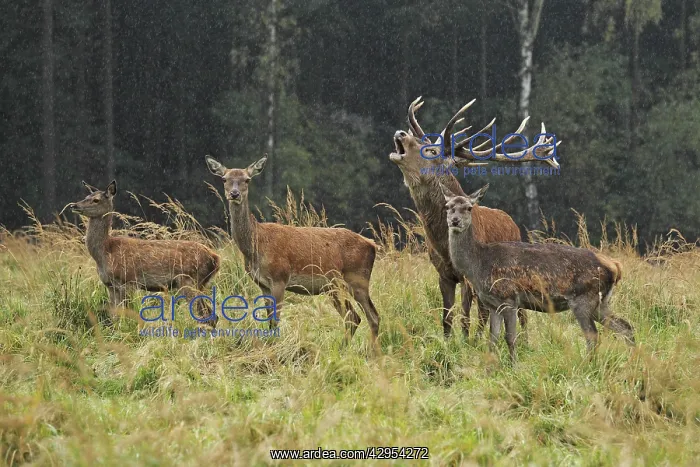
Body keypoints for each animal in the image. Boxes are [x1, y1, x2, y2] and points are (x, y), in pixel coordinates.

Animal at [63, 181, 221, 326]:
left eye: (96, 200)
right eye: (86, 196)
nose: (74, 205)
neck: (105, 252)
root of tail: (216, 259)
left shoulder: (128, 281)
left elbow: (125, 315)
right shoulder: (110, 286)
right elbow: (114, 317)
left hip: (189, 280)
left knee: (207, 315)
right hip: (198, 283)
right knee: (210, 315)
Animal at [205, 154, 381, 348]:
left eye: (247, 179)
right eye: (224, 179)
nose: (234, 194)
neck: (257, 246)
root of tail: (372, 245)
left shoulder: (280, 278)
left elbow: (276, 319)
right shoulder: (262, 284)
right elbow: (269, 319)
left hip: (357, 279)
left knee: (371, 316)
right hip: (333, 286)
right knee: (354, 317)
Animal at [389, 97, 559, 342]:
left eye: (430, 149)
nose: (400, 133)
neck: (443, 245)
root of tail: (513, 223)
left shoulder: (470, 276)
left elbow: (466, 316)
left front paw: (470, 342)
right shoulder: (443, 273)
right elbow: (447, 316)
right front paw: (449, 342)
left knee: (518, 312)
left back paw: (522, 340)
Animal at [441, 182, 635, 362]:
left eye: (469, 207)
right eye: (448, 207)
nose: (455, 221)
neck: (478, 265)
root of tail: (615, 266)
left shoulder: (508, 298)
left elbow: (510, 338)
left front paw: (514, 367)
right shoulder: (493, 304)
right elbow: (492, 340)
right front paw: (491, 369)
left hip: (584, 299)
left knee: (593, 336)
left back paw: (587, 365)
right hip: (601, 302)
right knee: (625, 326)